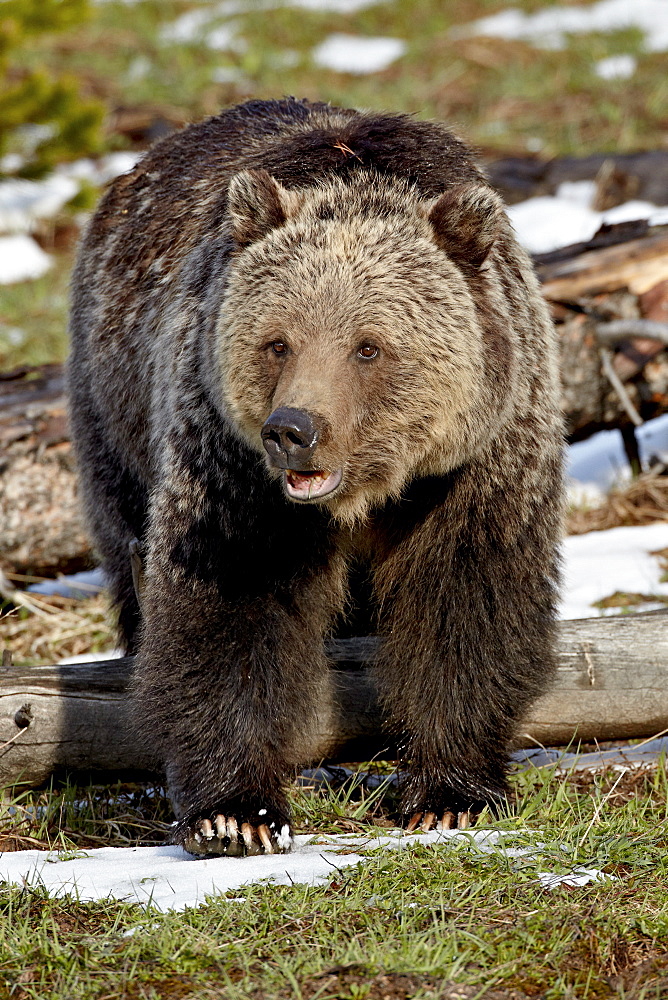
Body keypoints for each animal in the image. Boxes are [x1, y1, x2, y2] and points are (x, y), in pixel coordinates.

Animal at [69, 97, 564, 856]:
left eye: (369, 347)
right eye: (278, 342)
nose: (292, 430)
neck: (374, 487)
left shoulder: (475, 461)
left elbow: (467, 599)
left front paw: (449, 796)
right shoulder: (231, 464)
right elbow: (231, 602)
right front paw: (236, 813)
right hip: (112, 413)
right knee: (130, 556)